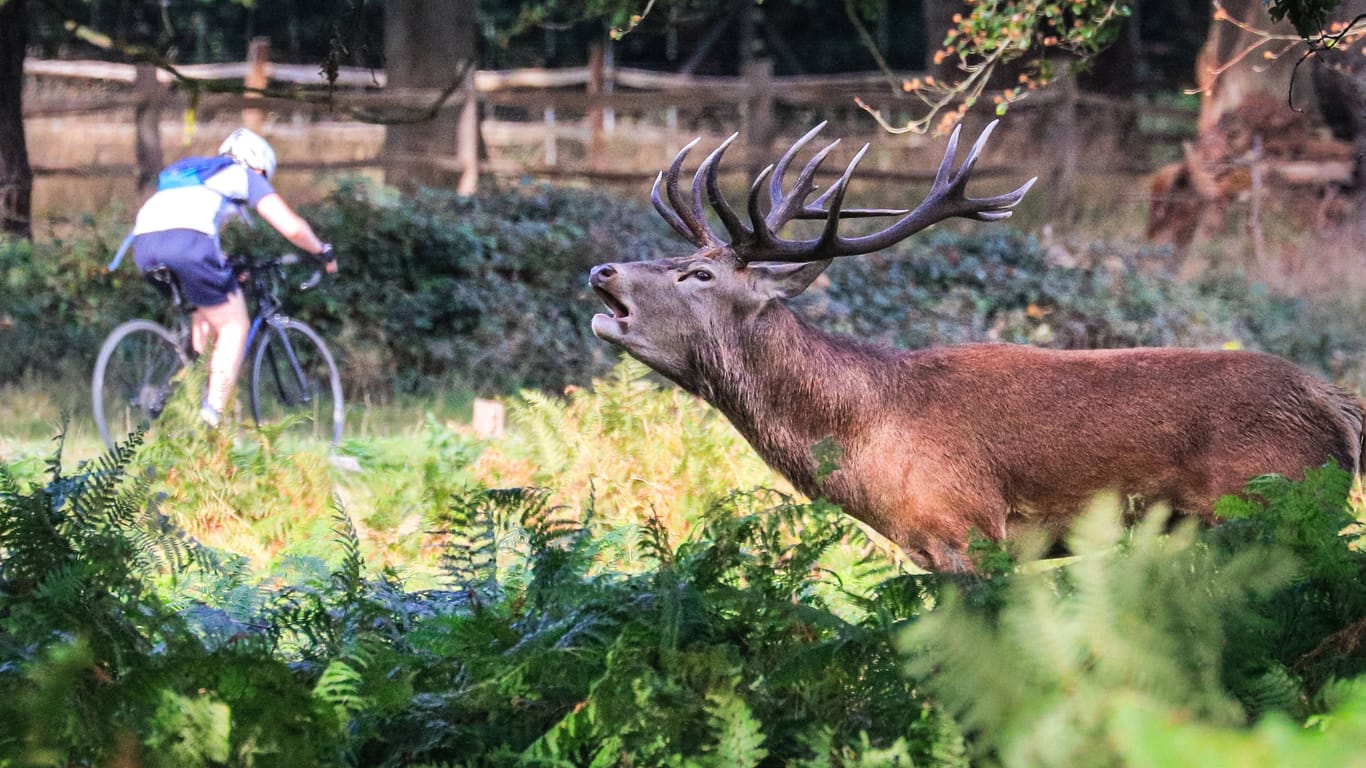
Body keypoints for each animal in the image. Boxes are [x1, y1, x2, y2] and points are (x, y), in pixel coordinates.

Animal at [590, 120, 1366, 568]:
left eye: (699, 273)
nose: (603, 271)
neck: (864, 438)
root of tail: (1335, 404)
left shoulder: (965, 528)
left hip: (1273, 499)